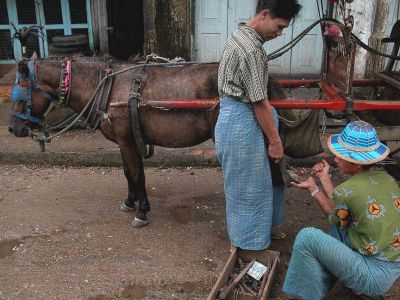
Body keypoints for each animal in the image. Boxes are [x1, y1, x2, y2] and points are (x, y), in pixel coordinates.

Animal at [7, 56, 286, 227]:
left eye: (21, 91)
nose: (12, 128)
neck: (108, 88)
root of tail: (261, 79)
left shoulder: (128, 142)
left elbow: (137, 175)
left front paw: (142, 212)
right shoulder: (123, 142)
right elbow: (128, 173)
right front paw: (129, 203)